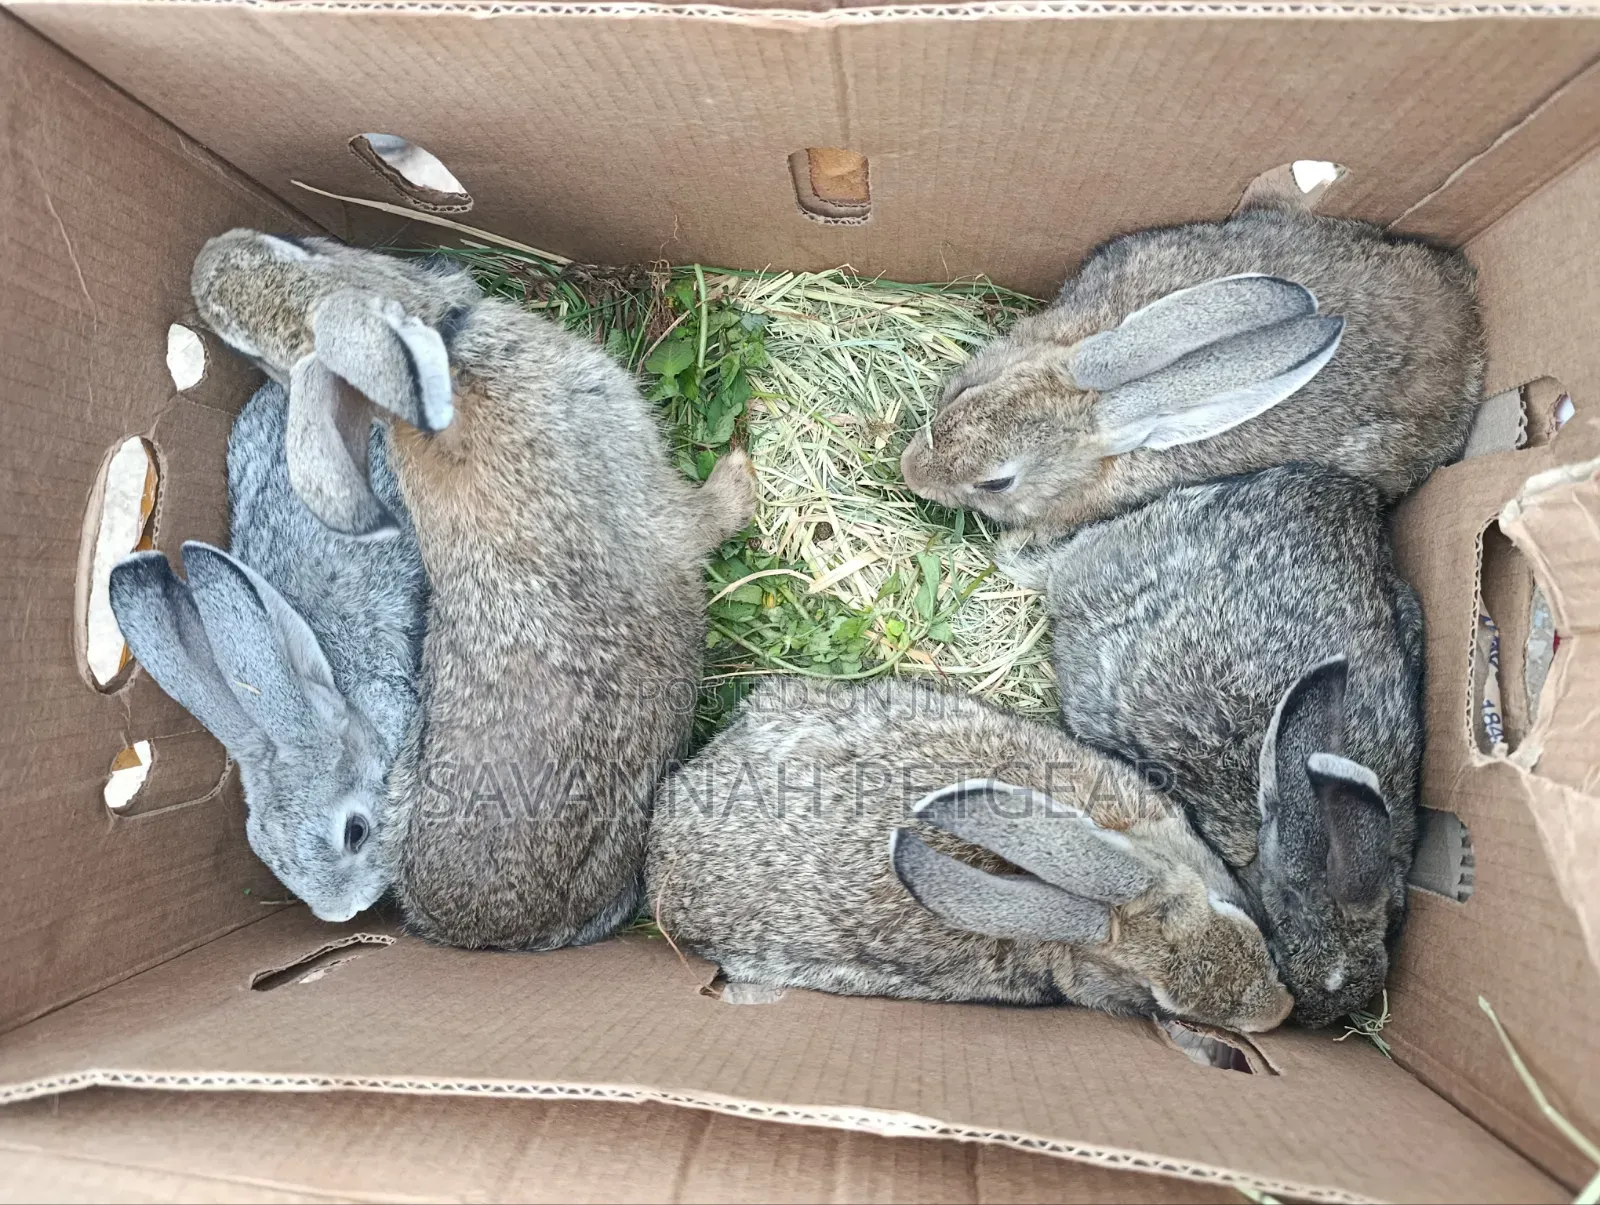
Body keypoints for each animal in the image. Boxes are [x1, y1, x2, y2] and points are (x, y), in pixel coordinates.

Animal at [190, 229, 758, 951]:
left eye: (302, 248)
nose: (207, 261)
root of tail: (485, 932)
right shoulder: (643, 488)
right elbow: (702, 520)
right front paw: (742, 474)